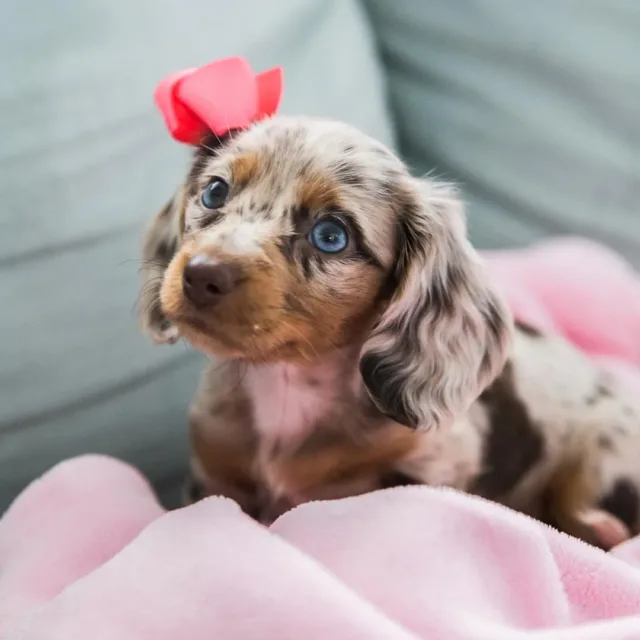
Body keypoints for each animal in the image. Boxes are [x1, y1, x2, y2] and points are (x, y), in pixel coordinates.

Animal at [140, 117, 640, 548]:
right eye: (214, 191)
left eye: (331, 235)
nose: (201, 274)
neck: (287, 386)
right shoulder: (214, 472)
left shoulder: (432, 466)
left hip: (601, 454)